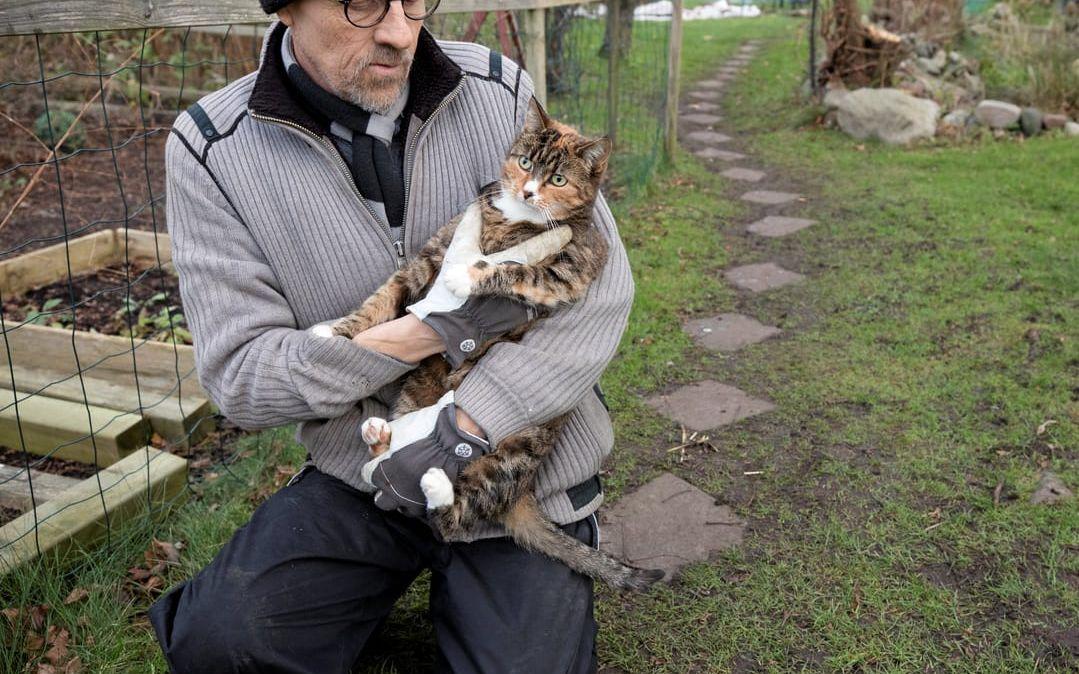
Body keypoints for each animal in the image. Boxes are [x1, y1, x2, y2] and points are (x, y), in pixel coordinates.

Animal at [315, 99, 660, 586]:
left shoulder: (572, 267)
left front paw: (469, 277)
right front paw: (336, 333)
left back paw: (437, 485)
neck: (515, 219)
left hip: (512, 451)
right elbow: (385, 296)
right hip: (417, 395)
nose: (529, 192)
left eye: (558, 179)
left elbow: (516, 269)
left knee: (452, 519)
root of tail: (521, 493)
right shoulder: (434, 253)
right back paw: (380, 435)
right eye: (525, 162)